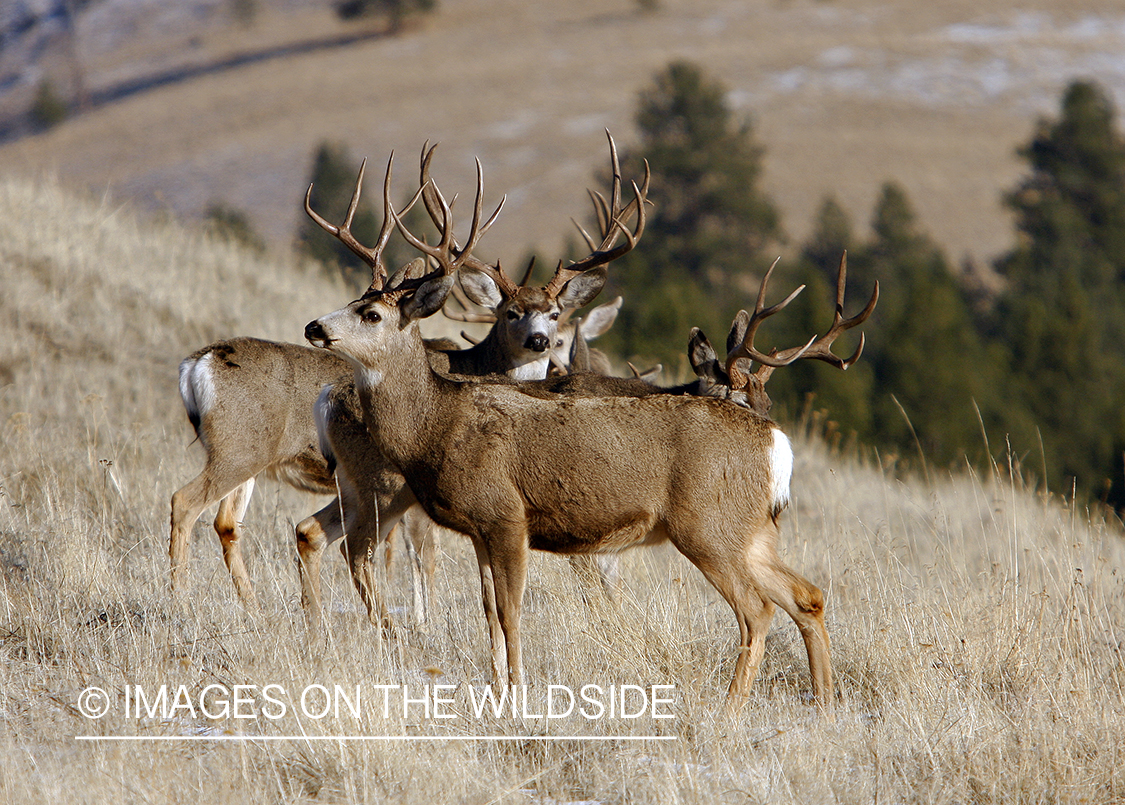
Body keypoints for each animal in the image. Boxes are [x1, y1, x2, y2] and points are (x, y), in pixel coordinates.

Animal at [303, 151, 875, 714]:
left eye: (370, 314)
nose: (314, 327)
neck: (437, 425)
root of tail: (775, 439)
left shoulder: (506, 515)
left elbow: (510, 613)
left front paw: (518, 698)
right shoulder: (480, 528)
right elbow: (490, 613)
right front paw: (497, 693)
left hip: (707, 524)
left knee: (757, 610)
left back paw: (729, 711)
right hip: (752, 530)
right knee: (806, 595)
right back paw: (825, 703)